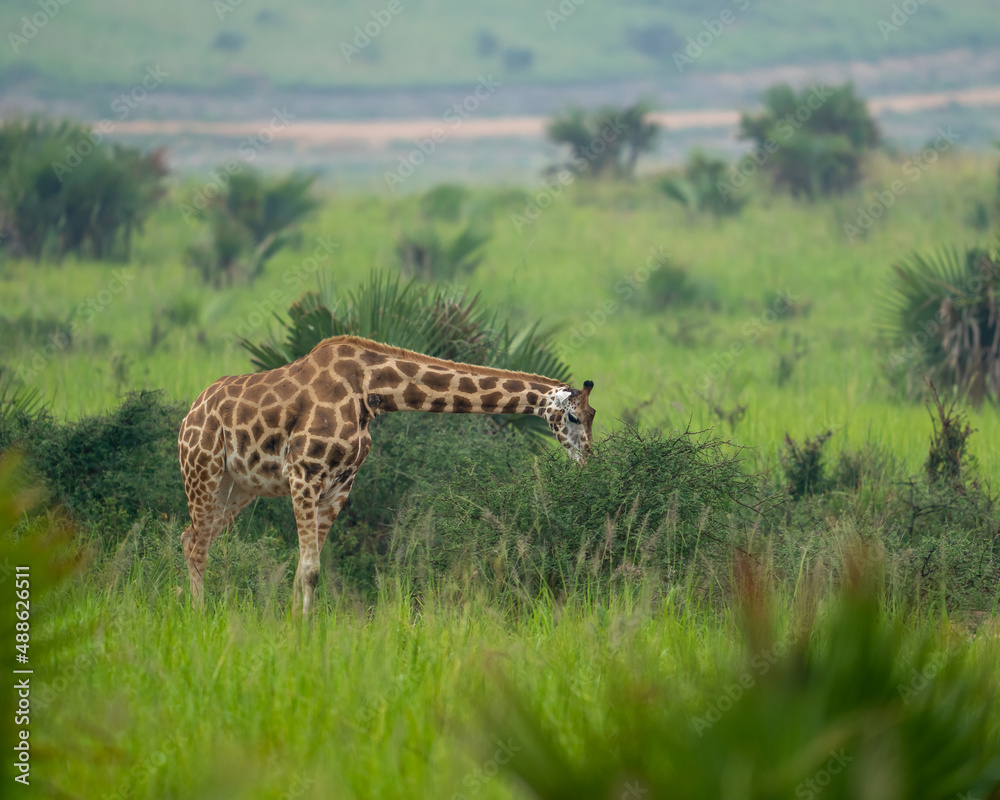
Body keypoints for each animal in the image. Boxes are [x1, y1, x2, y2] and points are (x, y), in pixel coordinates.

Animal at [178, 335, 596, 614]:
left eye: (593, 415)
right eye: (574, 417)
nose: (589, 462)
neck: (370, 390)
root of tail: (189, 414)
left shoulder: (339, 485)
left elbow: (305, 570)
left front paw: (302, 628)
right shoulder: (304, 472)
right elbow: (309, 569)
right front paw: (298, 634)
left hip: (238, 488)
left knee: (191, 537)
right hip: (203, 469)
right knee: (196, 544)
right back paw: (200, 618)